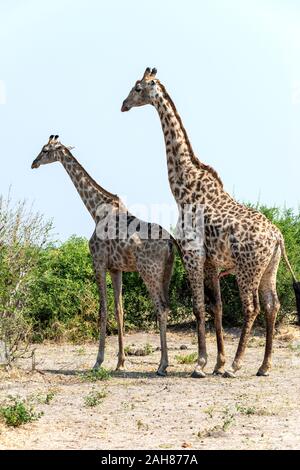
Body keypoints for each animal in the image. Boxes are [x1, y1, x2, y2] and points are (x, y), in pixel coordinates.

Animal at [31, 134, 175, 376]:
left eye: (45, 150)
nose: (33, 163)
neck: (95, 210)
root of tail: (171, 242)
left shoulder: (98, 262)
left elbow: (102, 310)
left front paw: (98, 362)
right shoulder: (116, 268)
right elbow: (119, 310)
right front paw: (120, 362)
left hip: (149, 272)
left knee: (161, 308)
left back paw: (162, 365)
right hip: (166, 273)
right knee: (166, 307)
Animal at [122, 67, 300, 378]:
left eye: (137, 88)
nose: (123, 104)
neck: (183, 190)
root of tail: (278, 237)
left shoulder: (193, 255)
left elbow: (198, 306)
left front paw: (202, 364)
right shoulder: (212, 263)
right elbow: (216, 307)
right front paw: (217, 362)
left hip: (247, 268)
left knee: (251, 307)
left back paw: (238, 365)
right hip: (270, 268)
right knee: (272, 305)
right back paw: (263, 366)